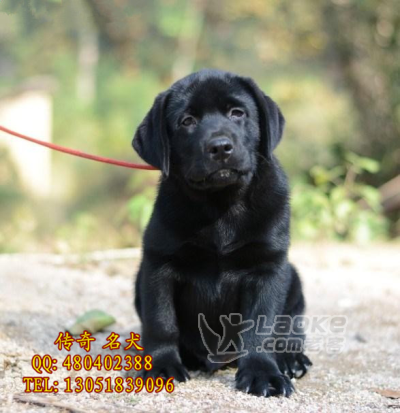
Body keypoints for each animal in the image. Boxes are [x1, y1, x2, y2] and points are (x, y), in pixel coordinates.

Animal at [132, 69, 312, 397]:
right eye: (187, 121)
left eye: (237, 113)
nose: (220, 147)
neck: (221, 205)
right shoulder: (158, 264)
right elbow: (161, 322)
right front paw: (161, 366)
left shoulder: (267, 268)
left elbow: (260, 327)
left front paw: (263, 373)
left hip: (292, 279)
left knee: (291, 324)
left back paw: (291, 358)